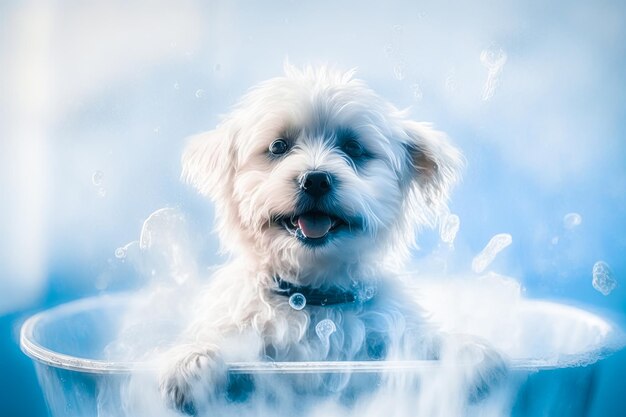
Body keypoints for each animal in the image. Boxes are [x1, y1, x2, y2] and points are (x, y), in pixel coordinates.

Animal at [160, 64, 502, 412]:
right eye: (278, 146)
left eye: (353, 148)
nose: (315, 180)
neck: (313, 298)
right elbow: (213, 339)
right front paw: (191, 359)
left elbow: (424, 343)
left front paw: (468, 352)